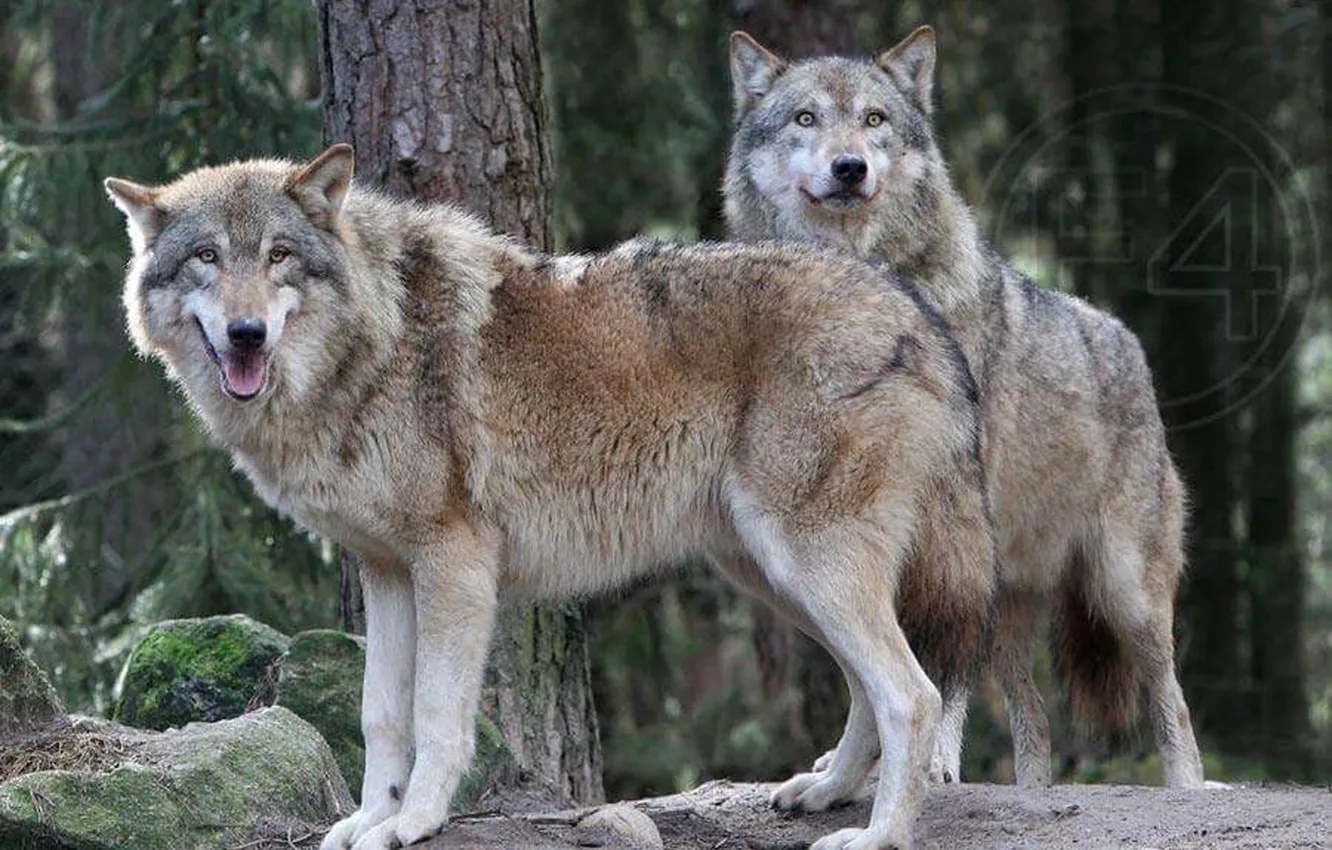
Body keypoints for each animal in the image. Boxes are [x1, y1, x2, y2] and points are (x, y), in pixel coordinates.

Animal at [105, 144, 998, 850]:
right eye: (208, 258)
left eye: (279, 256)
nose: (246, 334)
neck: (372, 343)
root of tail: (915, 310)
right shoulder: (387, 573)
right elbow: (379, 716)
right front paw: (367, 821)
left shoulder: (455, 563)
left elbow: (435, 717)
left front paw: (412, 823)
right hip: (778, 576)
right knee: (867, 690)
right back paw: (825, 791)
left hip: (808, 565)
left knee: (913, 696)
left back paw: (878, 836)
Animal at [724, 27, 1207, 790]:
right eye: (806, 118)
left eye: (874, 119)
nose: (850, 168)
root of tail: (1128, 341)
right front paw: (848, 762)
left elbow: (934, 664)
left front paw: (934, 762)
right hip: (1012, 604)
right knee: (1033, 714)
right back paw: (1034, 789)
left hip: (1123, 588)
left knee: (1170, 695)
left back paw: (1188, 784)